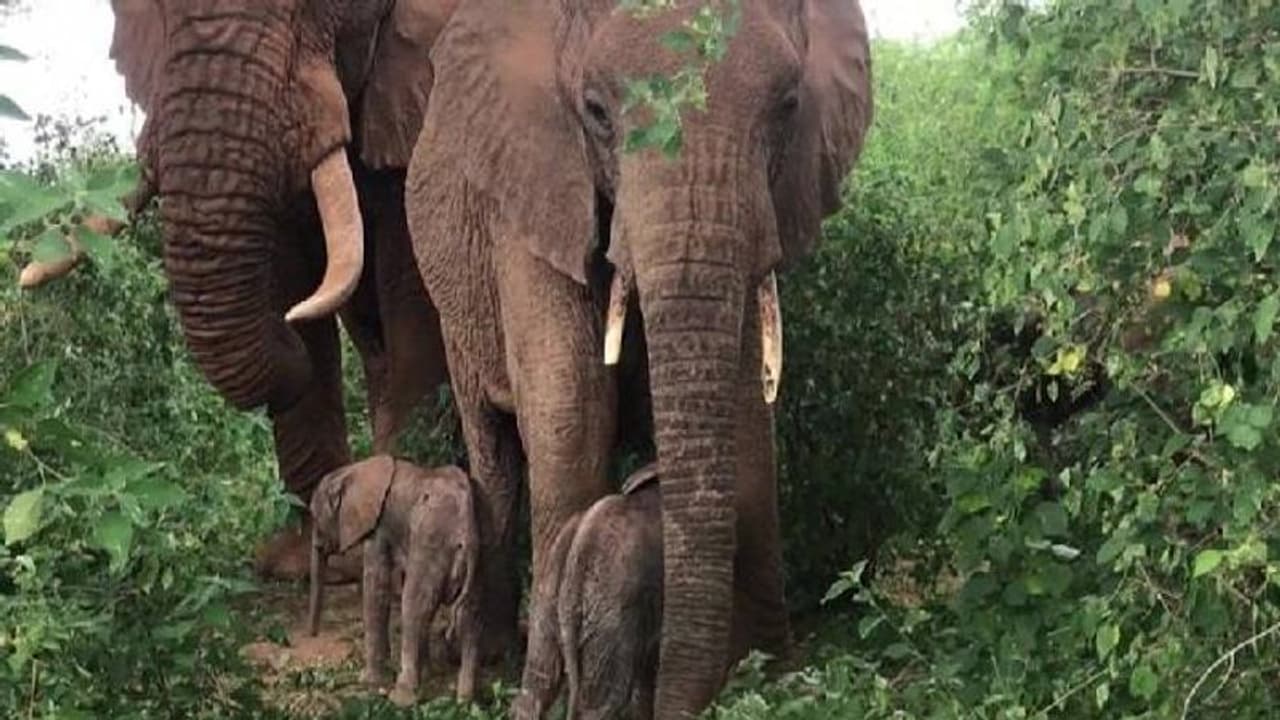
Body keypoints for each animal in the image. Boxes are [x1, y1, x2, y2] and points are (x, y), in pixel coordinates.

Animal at [308, 455, 481, 705]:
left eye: (314, 515)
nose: (313, 635)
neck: (352, 470)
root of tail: (465, 527)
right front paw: (427, 674)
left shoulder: (379, 526)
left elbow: (376, 585)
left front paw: (369, 681)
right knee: (470, 614)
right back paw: (466, 700)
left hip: (433, 541)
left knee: (414, 606)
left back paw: (402, 697)